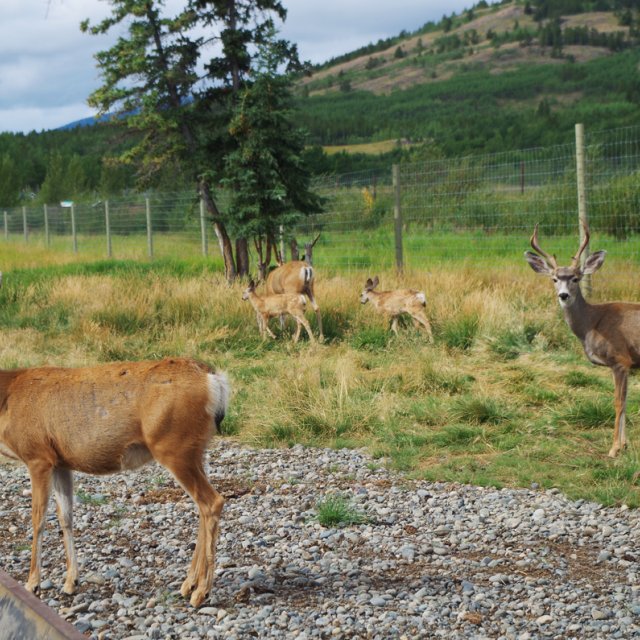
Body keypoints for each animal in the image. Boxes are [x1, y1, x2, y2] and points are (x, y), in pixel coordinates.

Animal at [0, 358, 230, 608]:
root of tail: (212, 377)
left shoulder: (38, 456)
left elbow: (38, 519)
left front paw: (32, 584)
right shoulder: (60, 462)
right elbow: (66, 517)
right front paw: (71, 582)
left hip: (173, 447)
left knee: (212, 502)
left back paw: (201, 592)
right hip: (195, 451)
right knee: (202, 506)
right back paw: (189, 585)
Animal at [524, 222, 640, 458]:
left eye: (575, 278)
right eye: (554, 279)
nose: (563, 295)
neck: (592, 323)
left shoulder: (620, 359)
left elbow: (618, 402)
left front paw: (613, 448)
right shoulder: (626, 365)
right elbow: (626, 401)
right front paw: (624, 444)